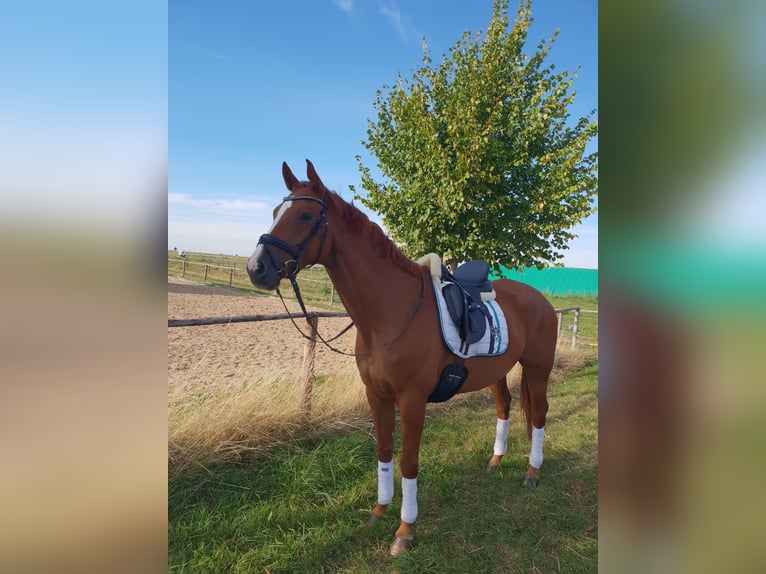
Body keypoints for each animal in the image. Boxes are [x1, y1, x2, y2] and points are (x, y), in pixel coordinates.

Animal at [247, 160, 558, 556]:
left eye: (304, 215)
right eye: (275, 212)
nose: (256, 268)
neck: (390, 311)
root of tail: (539, 299)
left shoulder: (412, 400)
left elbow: (409, 461)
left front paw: (404, 531)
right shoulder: (376, 395)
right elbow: (384, 452)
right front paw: (379, 510)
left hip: (538, 368)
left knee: (539, 414)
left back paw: (532, 472)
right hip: (497, 372)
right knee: (504, 406)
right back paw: (495, 460)